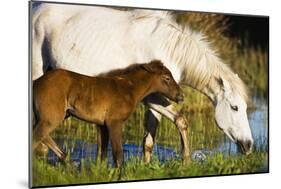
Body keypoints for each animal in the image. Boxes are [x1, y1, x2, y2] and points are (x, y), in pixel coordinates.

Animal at [31, 3, 254, 161]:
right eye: (234, 107)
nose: (249, 145)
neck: (165, 48)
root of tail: (36, 9)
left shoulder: (156, 98)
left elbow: (150, 138)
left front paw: (148, 165)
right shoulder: (149, 96)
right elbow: (181, 120)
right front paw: (186, 161)